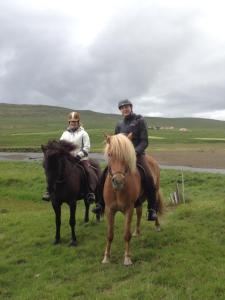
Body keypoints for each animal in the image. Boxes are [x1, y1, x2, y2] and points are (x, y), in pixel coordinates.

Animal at [102, 134, 163, 264]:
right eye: (109, 154)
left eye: (126, 156)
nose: (118, 181)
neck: (118, 191)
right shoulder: (109, 210)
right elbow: (109, 234)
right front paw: (106, 257)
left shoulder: (128, 209)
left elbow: (126, 234)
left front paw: (127, 258)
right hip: (139, 201)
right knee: (139, 213)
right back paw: (137, 231)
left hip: (154, 193)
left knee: (154, 207)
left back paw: (157, 225)